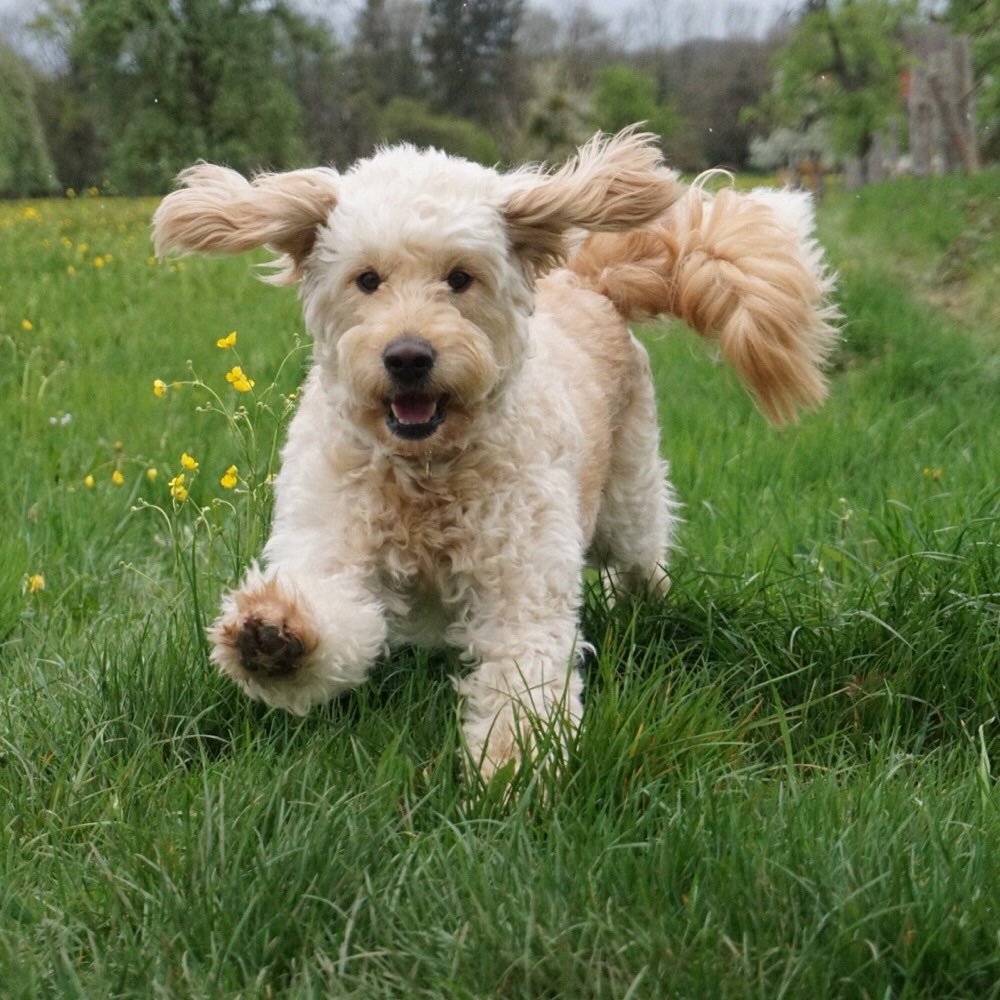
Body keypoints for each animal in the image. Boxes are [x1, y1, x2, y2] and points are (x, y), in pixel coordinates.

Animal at [150, 129, 836, 776]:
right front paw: (273, 638)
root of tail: (586, 281)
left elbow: (520, 673)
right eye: (367, 280)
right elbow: (333, 608)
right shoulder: (330, 539)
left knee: (645, 559)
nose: (408, 356)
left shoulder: (521, 577)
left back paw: (645, 604)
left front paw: (515, 766)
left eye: (460, 277)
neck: (426, 473)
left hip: (627, 502)